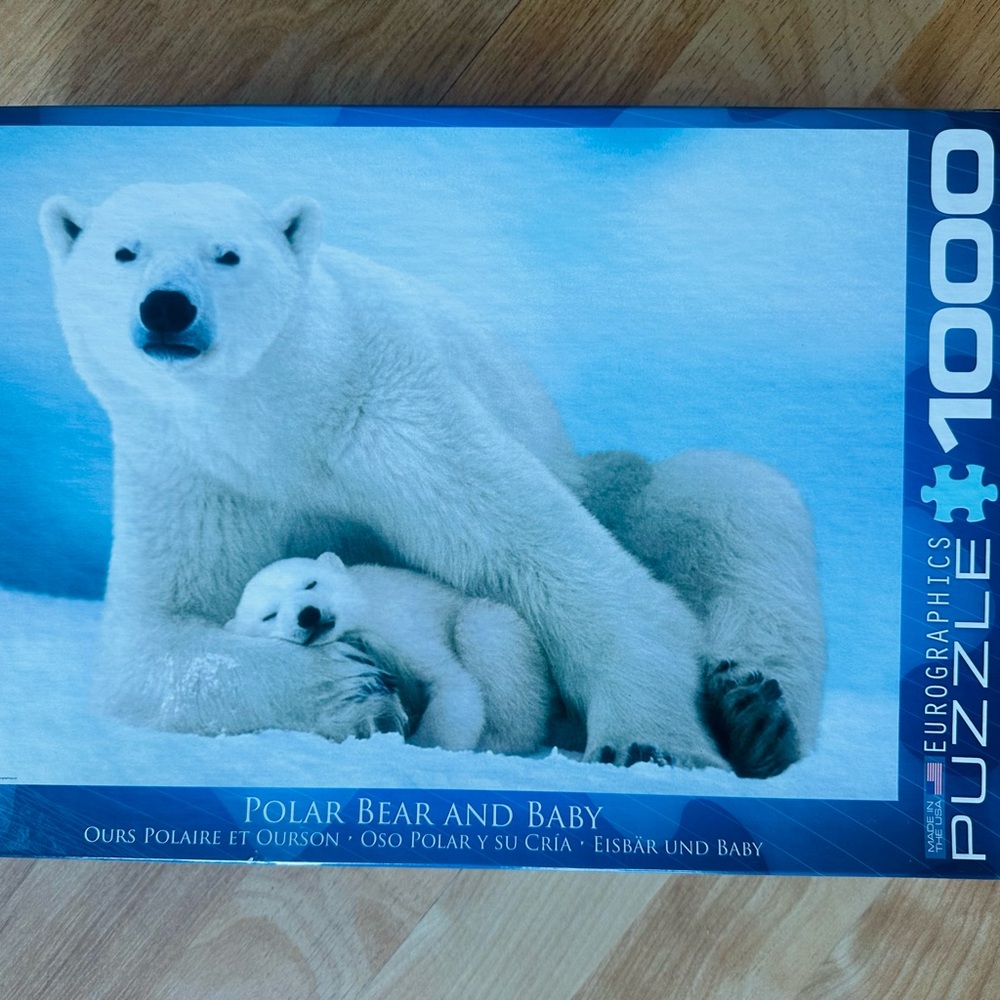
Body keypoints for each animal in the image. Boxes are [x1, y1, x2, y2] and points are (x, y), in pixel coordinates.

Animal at [226, 552, 556, 754]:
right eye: (269, 615)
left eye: (311, 582)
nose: (308, 615)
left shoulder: (396, 623)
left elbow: (451, 682)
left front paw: (425, 743)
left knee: (484, 626)